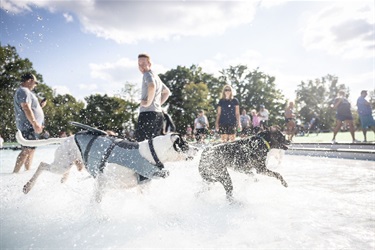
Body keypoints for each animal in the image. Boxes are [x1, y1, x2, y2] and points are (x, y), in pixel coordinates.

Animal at [16, 126, 200, 202]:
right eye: (185, 145)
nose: (198, 149)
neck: (149, 153)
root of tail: (68, 137)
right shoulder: (102, 181)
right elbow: (96, 202)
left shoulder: (143, 186)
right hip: (59, 165)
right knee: (42, 164)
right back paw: (28, 186)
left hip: (66, 163)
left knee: (61, 172)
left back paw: (63, 181)